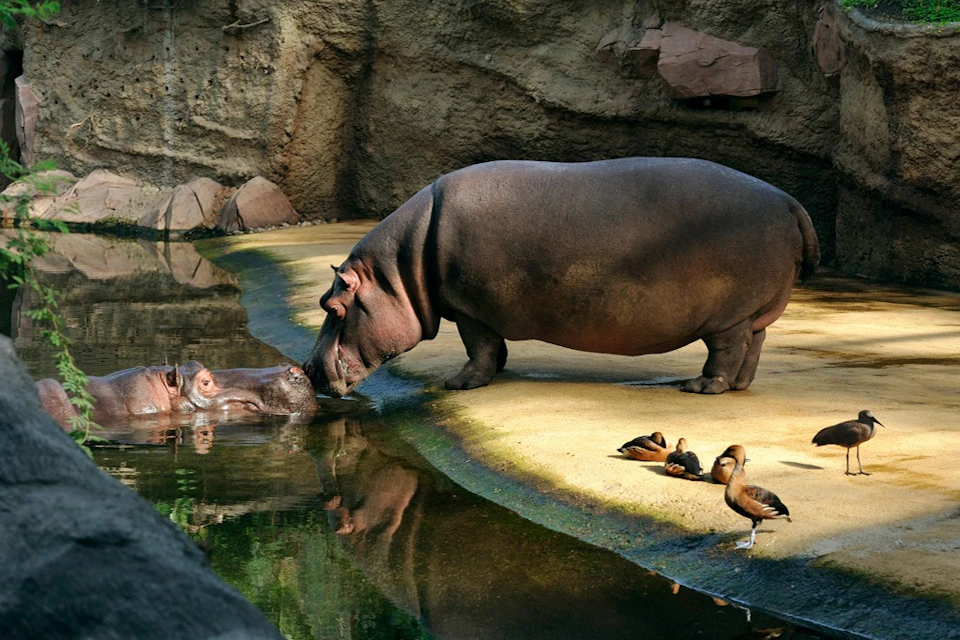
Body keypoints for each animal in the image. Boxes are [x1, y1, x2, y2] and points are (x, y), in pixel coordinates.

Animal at [303, 157, 820, 397]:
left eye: (333, 306)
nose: (305, 369)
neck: (400, 273)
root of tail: (788, 201)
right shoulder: (482, 311)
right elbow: (495, 348)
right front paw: (499, 370)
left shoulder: (470, 309)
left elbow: (478, 349)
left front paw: (459, 383)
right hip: (753, 313)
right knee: (753, 347)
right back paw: (737, 387)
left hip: (728, 316)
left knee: (726, 352)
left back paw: (700, 387)